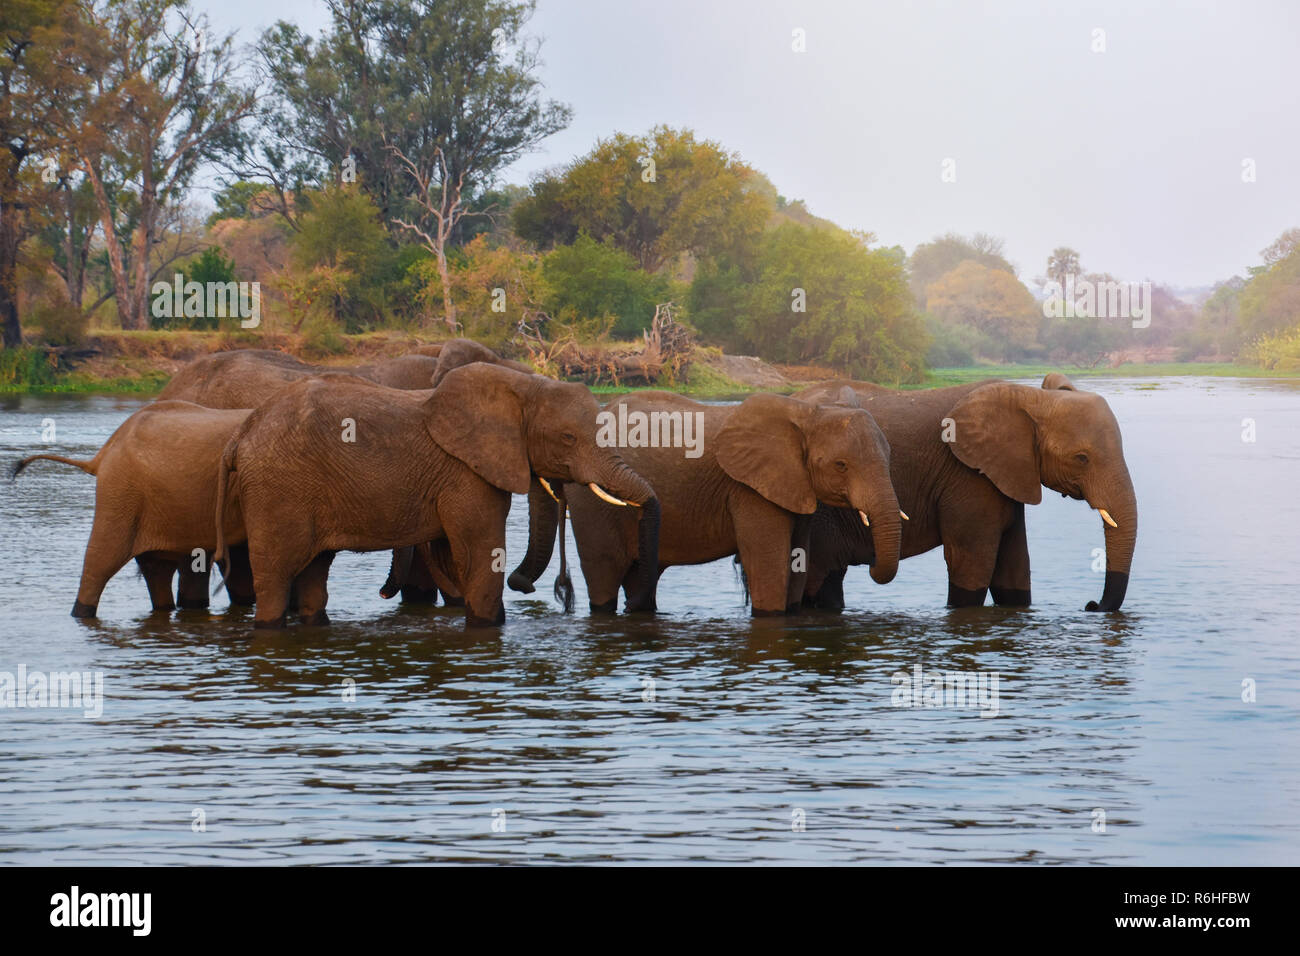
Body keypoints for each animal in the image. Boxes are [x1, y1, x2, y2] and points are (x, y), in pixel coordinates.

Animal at [217, 364, 660, 629]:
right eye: (568, 438)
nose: (528, 587)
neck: (523, 385)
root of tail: (241, 434)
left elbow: (460, 557)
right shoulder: (465, 474)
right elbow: (480, 555)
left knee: (314, 573)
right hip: (277, 490)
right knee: (276, 576)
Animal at [506, 392, 904, 616]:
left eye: (889, 456)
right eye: (841, 466)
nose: (869, 564)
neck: (809, 413)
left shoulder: (793, 485)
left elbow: (796, 562)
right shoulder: (748, 489)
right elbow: (768, 566)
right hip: (593, 503)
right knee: (604, 573)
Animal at [790, 374, 1138, 613]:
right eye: (1082, 458)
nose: (1091, 605)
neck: (1031, 398)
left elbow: (1014, 569)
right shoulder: (967, 476)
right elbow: (971, 562)